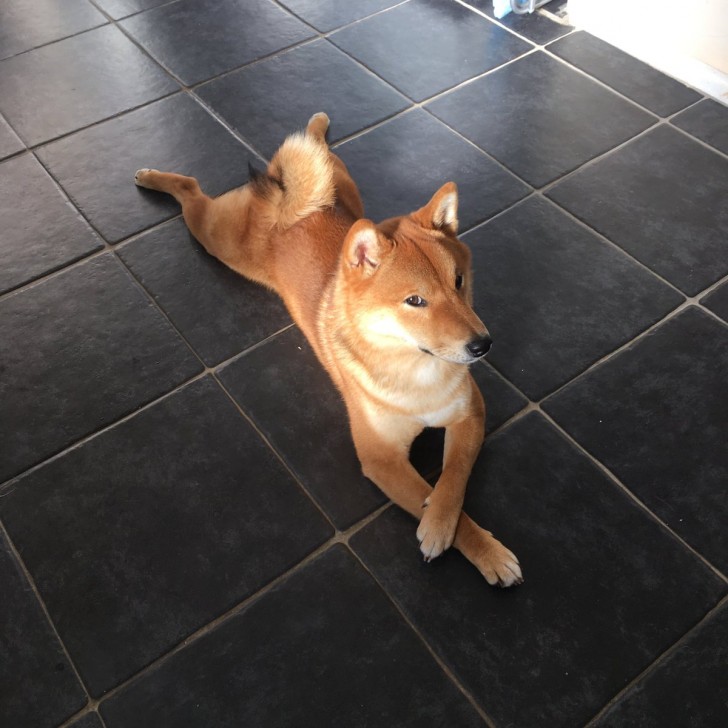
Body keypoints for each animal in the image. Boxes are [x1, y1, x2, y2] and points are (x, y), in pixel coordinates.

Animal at [135, 111, 524, 584]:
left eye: (459, 282)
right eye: (415, 301)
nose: (482, 345)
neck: (415, 371)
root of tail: (288, 205)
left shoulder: (471, 413)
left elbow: (453, 478)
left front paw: (456, 529)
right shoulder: (381, 459)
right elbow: (434, 491)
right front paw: (458, 538)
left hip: (343, 187)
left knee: (311, 146)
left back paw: (317, 126)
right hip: (218, 239)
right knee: (191, 187)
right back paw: (153, 177)